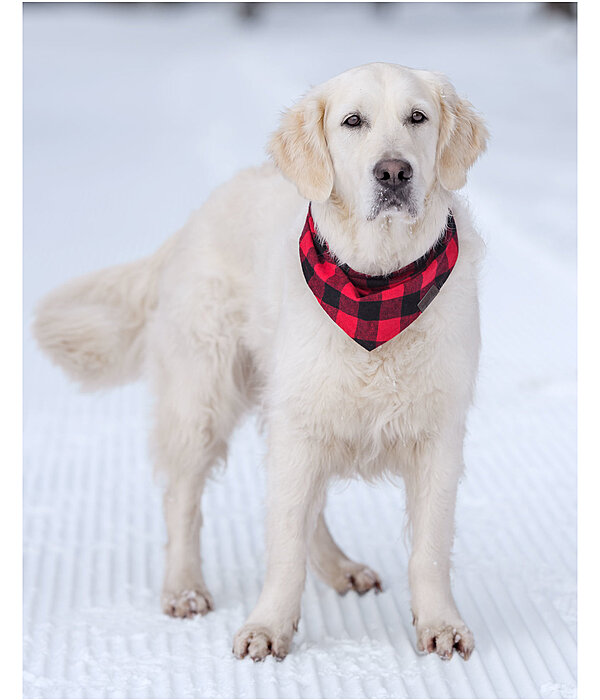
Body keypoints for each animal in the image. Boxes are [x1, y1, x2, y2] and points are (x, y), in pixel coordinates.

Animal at [34, 61, 488, 660]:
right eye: (353, 121)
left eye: (418, 117)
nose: (394, 172)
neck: (379, 281)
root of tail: (193, 220)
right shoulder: (299, 423)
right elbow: (284, 543)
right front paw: (269, 626)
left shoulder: (437, 433)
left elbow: (430, 548)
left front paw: (441, 624)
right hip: (203, 398)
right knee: (182, 500)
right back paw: (184, 588)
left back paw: (339, 568)